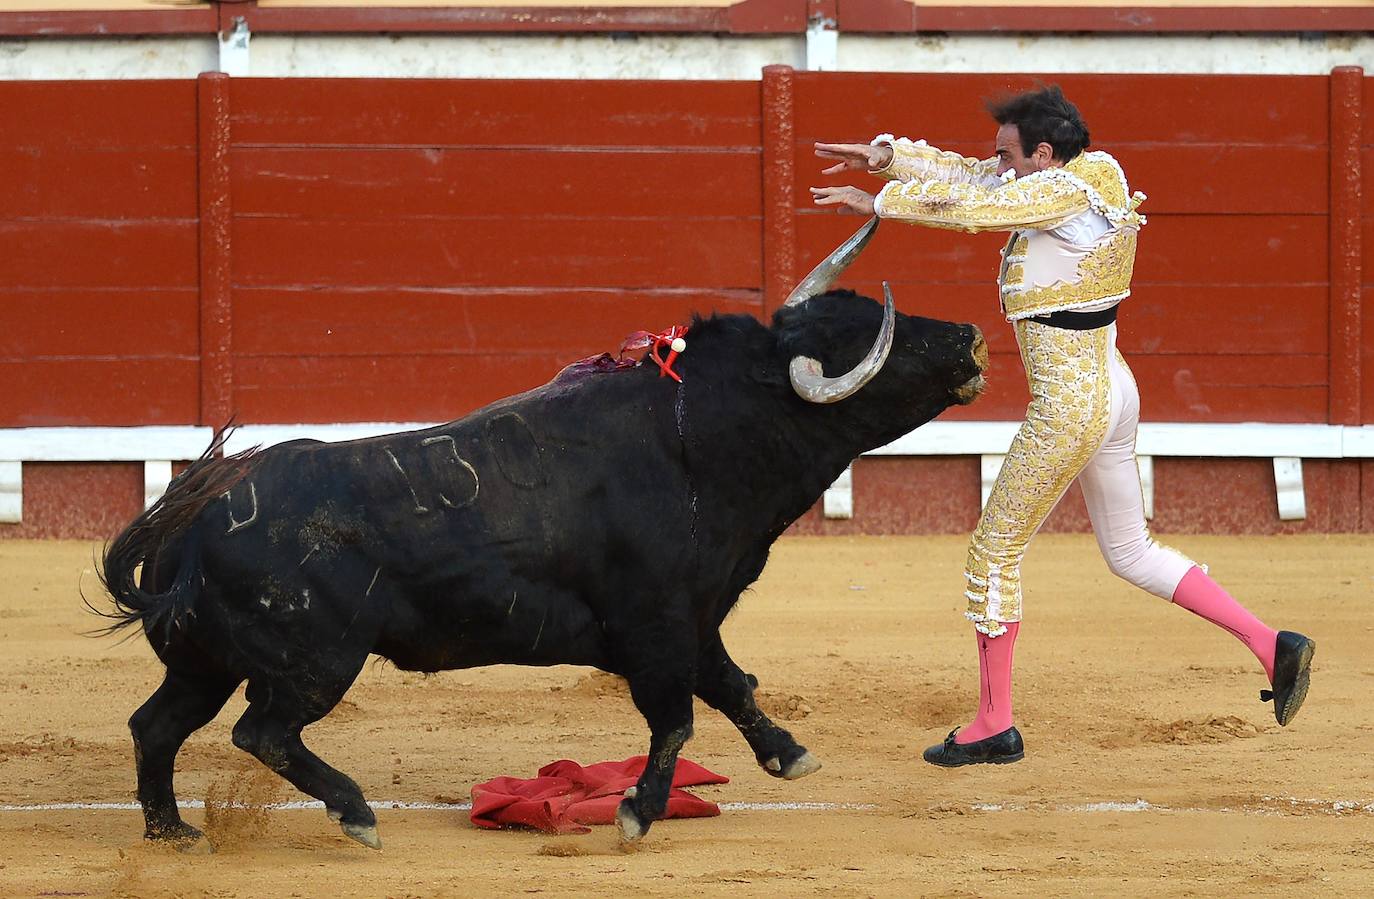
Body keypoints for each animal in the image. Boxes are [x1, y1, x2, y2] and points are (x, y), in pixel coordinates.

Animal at [96, 290, 989, 852]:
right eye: (874, 339)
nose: (970, 336)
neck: (700, 434)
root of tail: (196, 520)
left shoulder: (692, 617)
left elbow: (732, 687)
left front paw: (788, 754)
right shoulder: (656, 624)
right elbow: (676, 721)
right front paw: (637, 814)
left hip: (204, 662)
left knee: (156, 725)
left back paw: (172, 831)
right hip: (314, 663)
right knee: (262, 732)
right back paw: (356, 814)